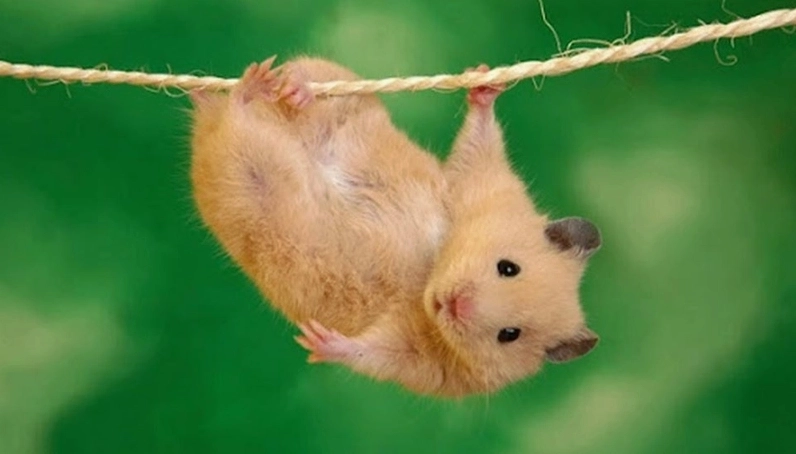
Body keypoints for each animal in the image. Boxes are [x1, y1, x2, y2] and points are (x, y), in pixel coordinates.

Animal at [188, 56, 602, 398]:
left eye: (509, 335)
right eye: (508, 267)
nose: (454, 304)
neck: (430, 272)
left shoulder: (423, 362)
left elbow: (372, 352)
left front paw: (317, 341)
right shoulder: (479, 184)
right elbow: (478, 144)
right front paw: (484, 81)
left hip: (245, 178)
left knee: (235, 124)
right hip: (341, 94)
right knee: (307, 79)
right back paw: (282, 86)